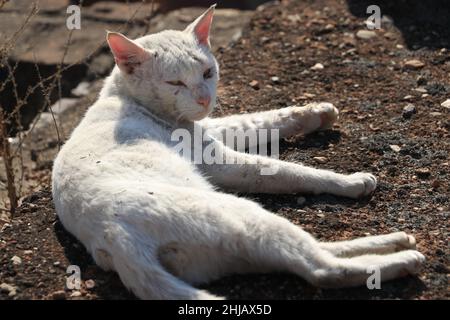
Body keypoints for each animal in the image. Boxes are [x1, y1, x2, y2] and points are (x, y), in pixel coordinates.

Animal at [51, 5, 424, 300]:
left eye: (207, 72)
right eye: (175, 83)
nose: (204, 99)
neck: (122, 96)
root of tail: (115, 238)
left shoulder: (212, 128)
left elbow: (257, 120)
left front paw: (317, 113)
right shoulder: (219, 160)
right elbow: (286, 170)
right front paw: (349, 181)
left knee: (315, 251)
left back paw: (395, 241)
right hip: (244, 214)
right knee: (320, 269)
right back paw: (402, 260)